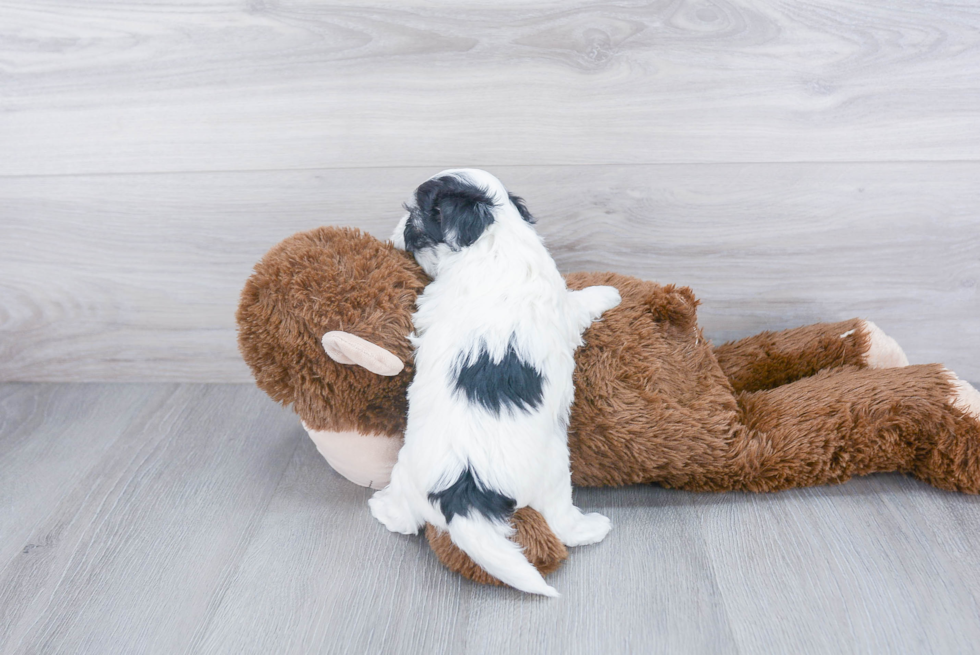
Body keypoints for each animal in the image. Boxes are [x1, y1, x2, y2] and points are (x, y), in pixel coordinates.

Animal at [368, 170, 620, 600]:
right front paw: (607, 293)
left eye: (412, 220)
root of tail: (463, 491)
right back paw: (592, 528)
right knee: (561, 521)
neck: (493, 238)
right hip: (555, 471)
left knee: (403, 518)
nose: (395, 233)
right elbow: (578, 302)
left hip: (407, 470)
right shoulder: (562, 308)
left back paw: (382, 508)